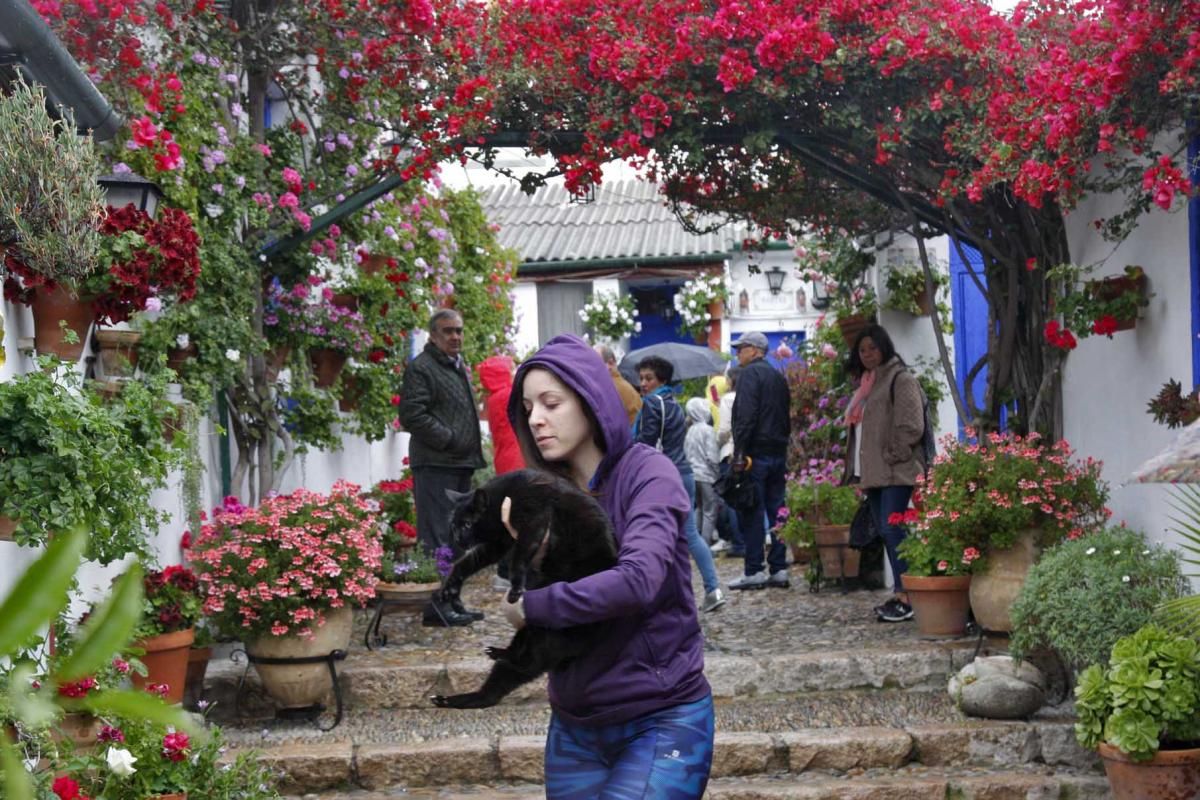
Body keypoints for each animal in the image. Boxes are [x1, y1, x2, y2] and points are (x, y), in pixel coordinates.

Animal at [432, 465, 619, 710]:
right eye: (453, 526)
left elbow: (518, 558)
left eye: (467, 525)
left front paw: (515, 587)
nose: (458, 540)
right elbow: (466, 562)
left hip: (550, 628)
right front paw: (451, 588)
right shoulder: (499, 541)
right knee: (493, 690)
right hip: (529, 632)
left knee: (527, 663)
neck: (503, 496)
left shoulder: (533, 521)